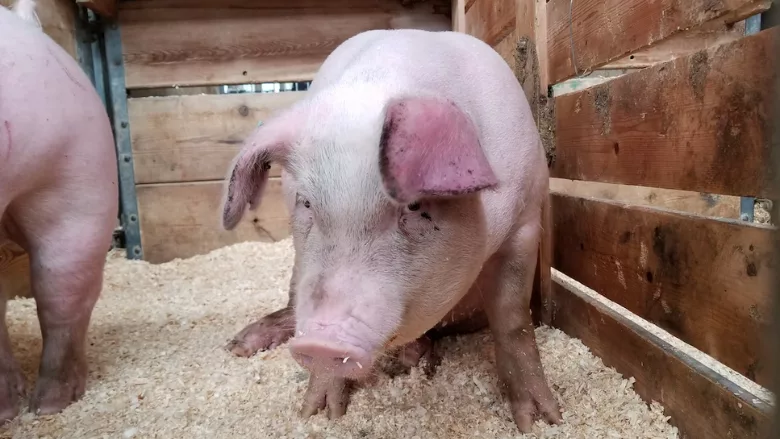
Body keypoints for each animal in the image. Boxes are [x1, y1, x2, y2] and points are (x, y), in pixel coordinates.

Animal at [221, 28, 562, 432]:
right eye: (305, 203)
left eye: (413, 207)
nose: (320, 342)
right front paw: (318, 414)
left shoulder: (526, 217)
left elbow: (513, 319)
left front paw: (542, 421)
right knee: (291, 306)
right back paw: (238, 345)